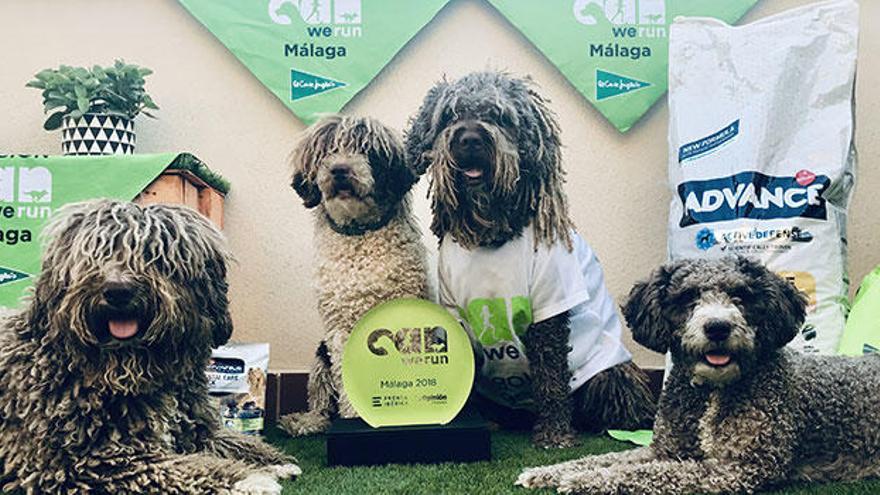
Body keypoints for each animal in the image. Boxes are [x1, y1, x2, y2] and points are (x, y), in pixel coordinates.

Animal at [0, 200, 300, 494]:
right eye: (97, 254)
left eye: (155, 255)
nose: (118, 290)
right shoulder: (84, 461)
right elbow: (182, 467)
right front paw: (248, 478)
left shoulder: (195, 429)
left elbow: (231, 439)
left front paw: (273, 461)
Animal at [278, 114, 430, 436]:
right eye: (327, 151)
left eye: (367, 149)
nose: (339, 170)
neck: (360, 235)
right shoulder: (339, 327)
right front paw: (355, 417)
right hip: (320, 355)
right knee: (322, 400)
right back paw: (307, 421)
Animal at [406, 72, 652, 450]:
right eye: (449, 115)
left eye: (500, 116)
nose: (470, 138)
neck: (491, 236)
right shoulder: (455, 312)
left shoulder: (550, 304)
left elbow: (551, 375)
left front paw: (554, 434)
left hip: (611, 375)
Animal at [520, 258, 880, 494]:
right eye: (688, 296)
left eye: (740, 296)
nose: (718, 326)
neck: (711, 392)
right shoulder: (662, 450)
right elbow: (602, 458)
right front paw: (547, 472)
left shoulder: (738, 467)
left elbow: (642, 473)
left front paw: (586, 481)